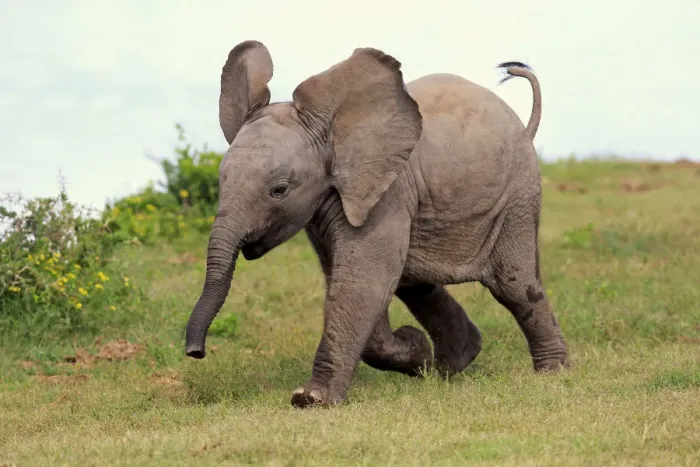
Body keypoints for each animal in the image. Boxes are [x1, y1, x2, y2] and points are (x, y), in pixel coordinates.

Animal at [185, 40, 569, 408]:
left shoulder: (388, 192)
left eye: (279, 190)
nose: (195, 352)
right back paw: (451, 365)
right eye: (221, 179)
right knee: (415, 282)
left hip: (517, 196)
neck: (332, 131)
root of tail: (523, 127)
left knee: (513, 285)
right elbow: (354, 280)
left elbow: (361, 280)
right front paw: (416, 354)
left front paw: (310, 400)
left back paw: (551, 373)